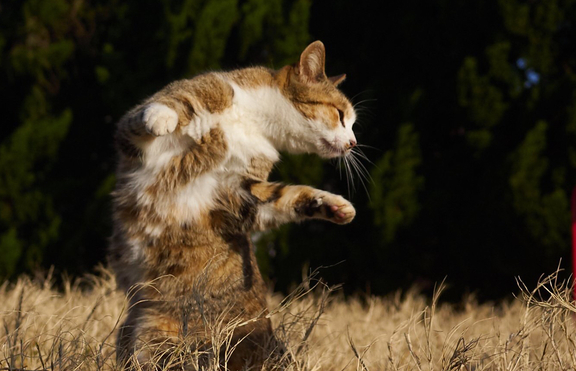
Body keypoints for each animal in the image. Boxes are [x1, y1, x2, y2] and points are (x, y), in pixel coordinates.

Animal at [108, 40, 358, 370]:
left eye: (353, 123)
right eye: (340, 115)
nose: (354, 143)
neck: (254, 123)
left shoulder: (239, 194)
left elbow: (287, 196)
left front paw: (337, 207)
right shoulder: (135, 138)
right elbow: (164, 107)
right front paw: (162, 118)